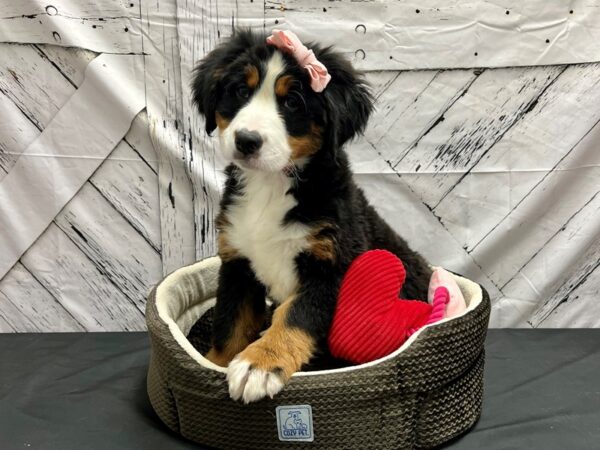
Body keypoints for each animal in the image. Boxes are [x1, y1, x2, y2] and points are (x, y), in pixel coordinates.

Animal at [192, 29, 432, 402]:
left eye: (293, 102)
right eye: (241, 91)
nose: (247, 140)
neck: (271, 186)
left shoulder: (331, 266)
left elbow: (295, 316)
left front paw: (260, 364)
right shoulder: (237, 262)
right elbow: (230, 323)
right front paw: (214, 364)